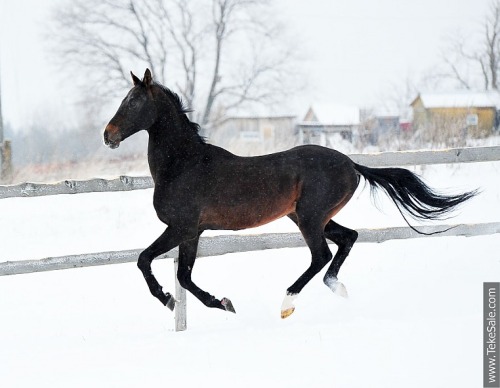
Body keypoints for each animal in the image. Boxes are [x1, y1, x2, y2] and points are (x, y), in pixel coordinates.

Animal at [104, 69, 476, 318]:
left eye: (134, 101)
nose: (108, 135)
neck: (185, 164)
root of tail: (352, 164)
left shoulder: (182, 227)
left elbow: (149, 261)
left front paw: (177, 299)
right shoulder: (192, 231)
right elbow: (178, 273)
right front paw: (217, 302)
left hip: (310, 218)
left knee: (321, 255)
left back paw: (288, 303)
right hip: (310, 216)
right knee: (348, 238)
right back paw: (337, 289)